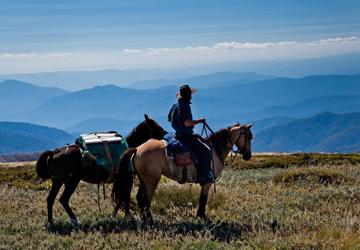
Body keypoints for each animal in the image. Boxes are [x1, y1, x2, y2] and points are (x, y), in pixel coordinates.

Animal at [36, 114, 166, 227]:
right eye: (155, 125)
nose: (165, 133)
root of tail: (53, 153)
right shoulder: (127, 179)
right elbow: (125, 197)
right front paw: (127, 217)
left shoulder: (120, 180)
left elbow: (121, 199)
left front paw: (114, 216)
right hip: (72, 181)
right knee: (63, 199)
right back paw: (74, 220)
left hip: (57, 181)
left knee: (50, 199)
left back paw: (51, 222)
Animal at [112, 122, 253, 222]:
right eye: (249, 137)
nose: (248, 156)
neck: (215, 149)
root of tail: (137, 149)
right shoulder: (207, 182)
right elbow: (203, 199)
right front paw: (201, 218)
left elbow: (202, 199)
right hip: (151, 181)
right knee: (145, 199)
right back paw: (150, 220)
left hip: (144, 180)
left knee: (140, 198)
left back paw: (145, 219)